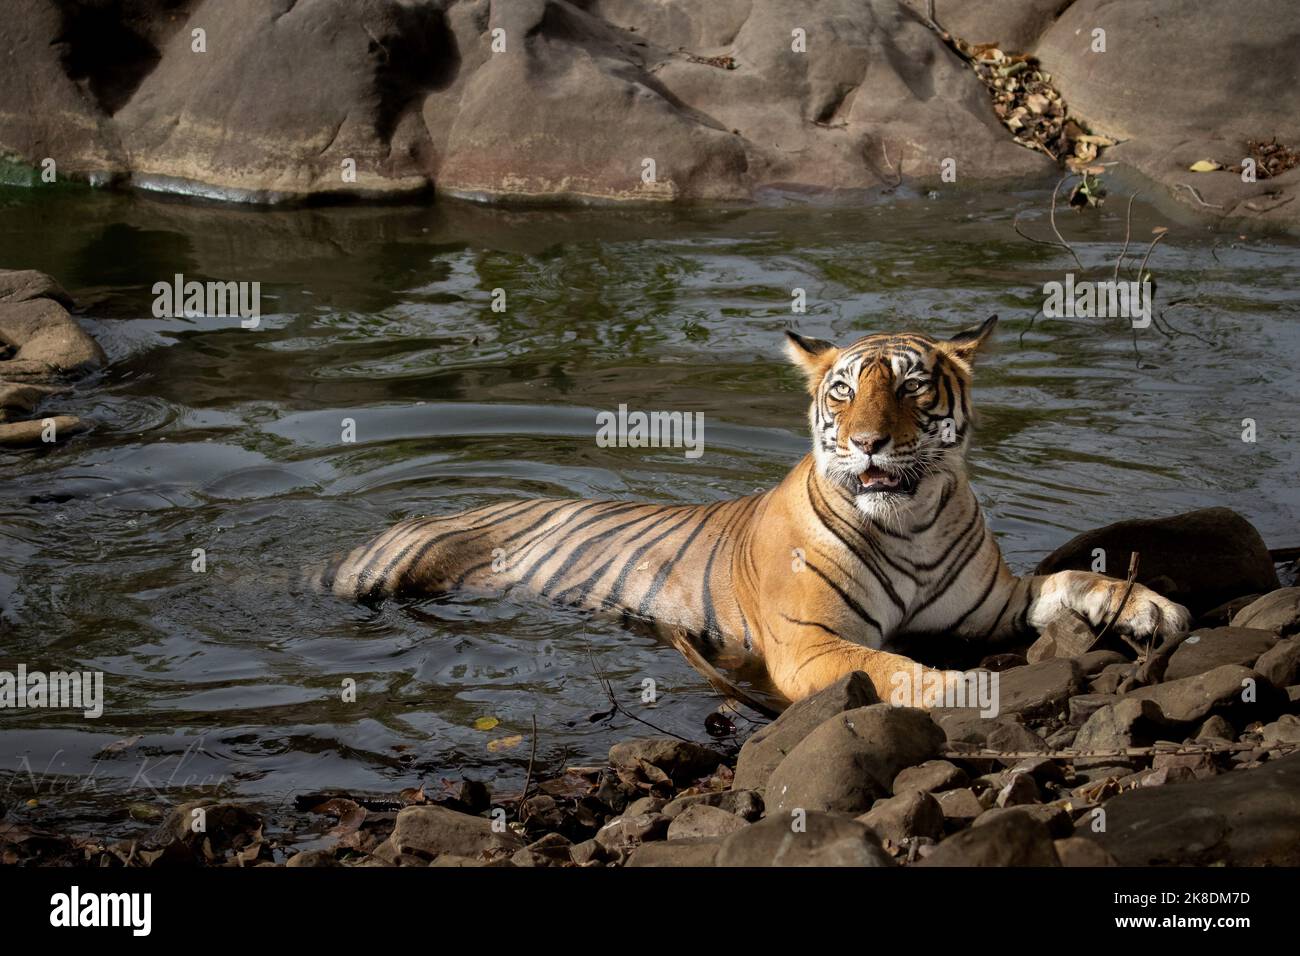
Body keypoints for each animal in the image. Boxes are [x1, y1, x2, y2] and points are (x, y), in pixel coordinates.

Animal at [319, 317, 1190, 707]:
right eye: (842, 392)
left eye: (912, 386)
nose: (869, 442)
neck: (911, 520)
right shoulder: (808, 644)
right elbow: (887, 665)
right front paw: (953, 688)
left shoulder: (996, 604)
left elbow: (1075, 579)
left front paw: (1154, 608)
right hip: (381, 575)